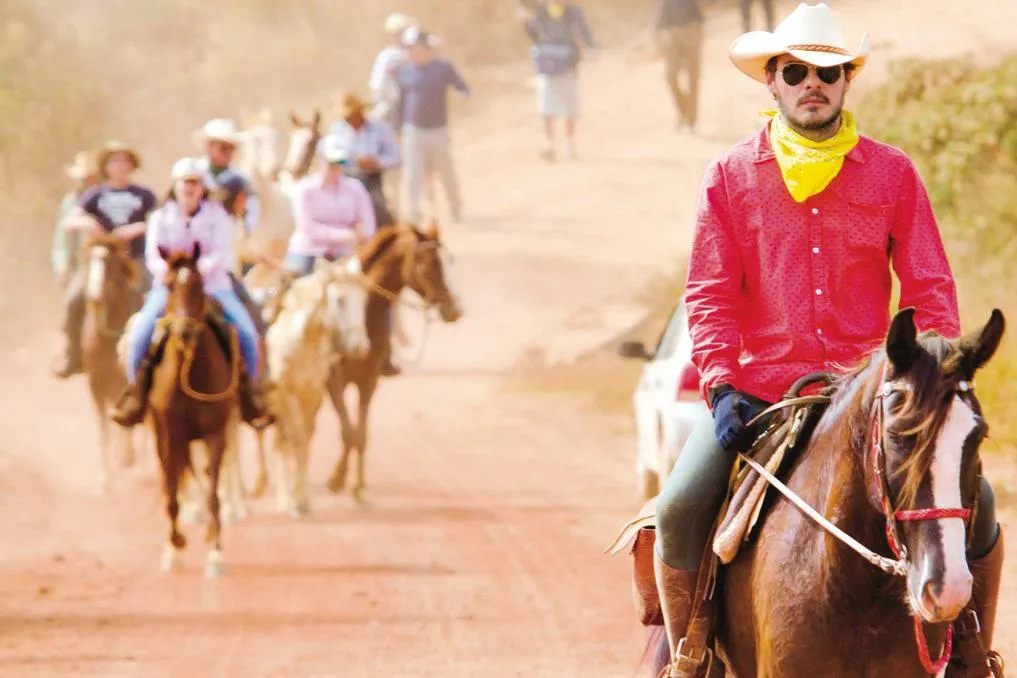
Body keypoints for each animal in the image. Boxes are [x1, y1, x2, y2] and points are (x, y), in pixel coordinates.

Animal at [148, 243, 237, 577]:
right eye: (168, 285)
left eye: (199, 284)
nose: (185, 331)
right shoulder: (167, 436)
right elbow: (171, 493)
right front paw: (174, 546)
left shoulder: (216, 434)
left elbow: (213, 493)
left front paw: (215, 552)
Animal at [325, 223, 461, 504]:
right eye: (430, 265)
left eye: (450, 260)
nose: (454, 310)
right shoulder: (335, 381)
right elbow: (347, 431)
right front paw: (337, 479)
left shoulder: (368, 383)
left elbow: (359, 435)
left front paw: (358, 488)